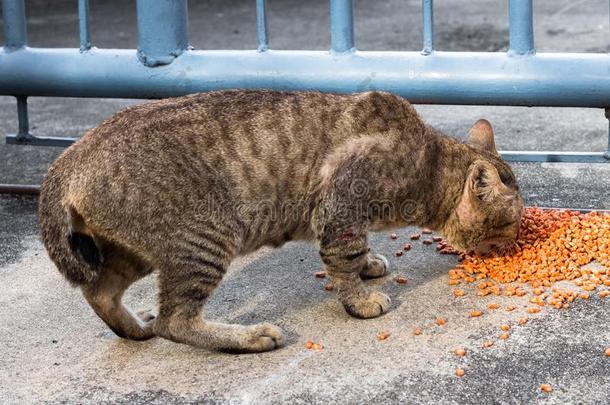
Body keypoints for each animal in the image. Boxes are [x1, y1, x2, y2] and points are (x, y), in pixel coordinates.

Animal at [39, 90, 524, 352]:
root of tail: (67, 161)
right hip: (207, 237)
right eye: (514, 222)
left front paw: (370, 265)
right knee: (175, 321)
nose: (519, 241)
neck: (427, 163)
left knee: (102, 292)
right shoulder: (340, 204)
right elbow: (344, 259)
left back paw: (136, 329)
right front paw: (360, 299)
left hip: (135, 252)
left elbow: (357, 252)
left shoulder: (347, 215)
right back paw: (248, 337)